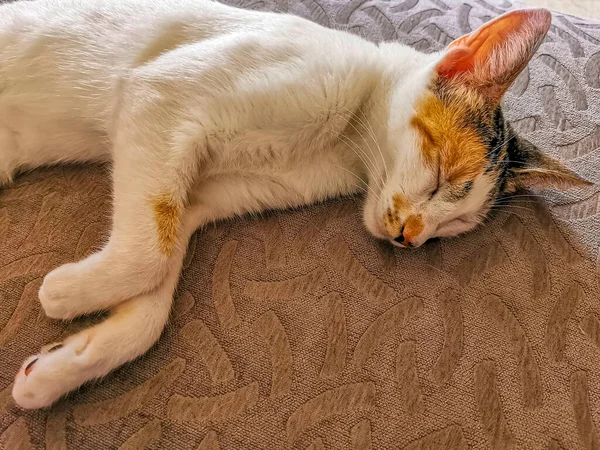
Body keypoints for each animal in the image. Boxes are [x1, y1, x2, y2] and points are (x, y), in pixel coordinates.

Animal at [0, 0, 592, 410]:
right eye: (442, 176)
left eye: (458, 224)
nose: (412, 236)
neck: (341, 145)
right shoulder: (161, 94)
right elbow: (150, 254)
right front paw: (62, 292)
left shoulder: (198, 196)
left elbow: (156, 283)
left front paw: (56, 369)